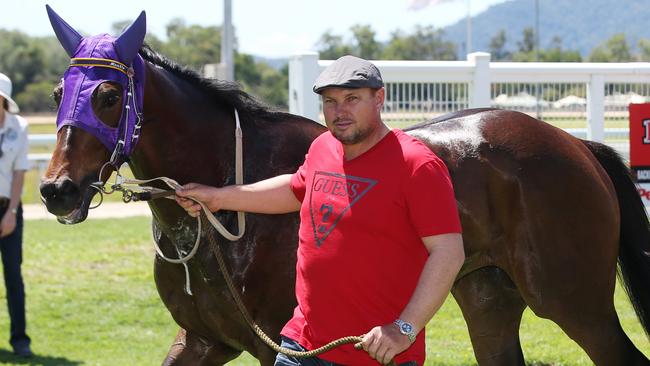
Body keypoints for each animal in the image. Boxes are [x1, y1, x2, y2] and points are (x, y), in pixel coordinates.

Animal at [40, 6, 648, 366]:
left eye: (109, 96)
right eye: (58, 93)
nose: (56, 190)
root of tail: (575, 145)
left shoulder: (274, 343)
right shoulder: (201, 340)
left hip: (573, 301)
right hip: (488, 298)